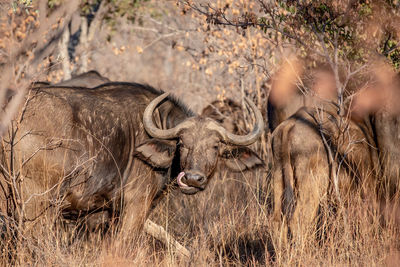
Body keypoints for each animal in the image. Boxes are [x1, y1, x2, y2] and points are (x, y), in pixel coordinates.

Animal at [0, 81, 264, 243]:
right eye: (182, 143)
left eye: (215, 146)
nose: (192, 179)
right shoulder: (136, 206)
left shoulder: (108, 214)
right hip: (36, 206)